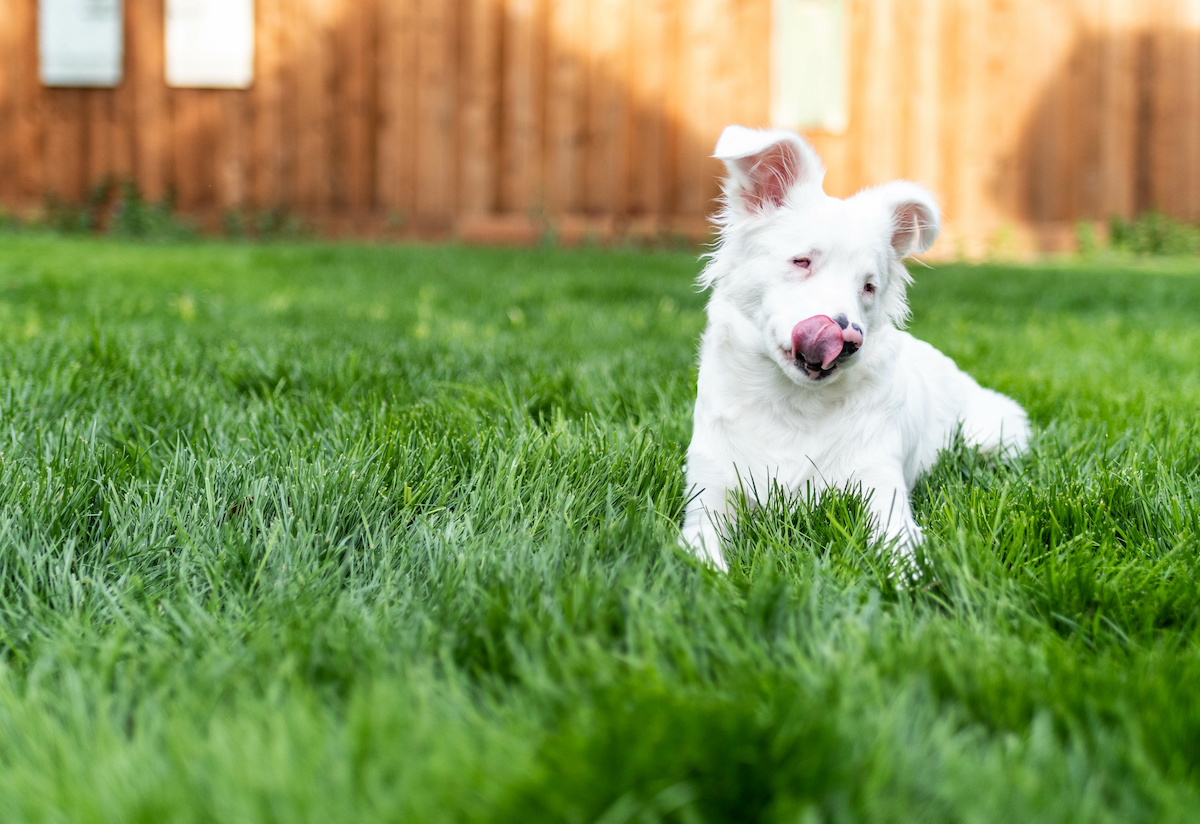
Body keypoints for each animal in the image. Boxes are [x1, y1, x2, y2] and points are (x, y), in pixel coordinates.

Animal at [681, 124, 1027, 573]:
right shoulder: (709, 495)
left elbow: (902, 547)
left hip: (998, 432)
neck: (794, 408)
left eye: (868, 286)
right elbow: (701, 552)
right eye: (802, 262)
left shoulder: (880, 492)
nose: (848, 339)